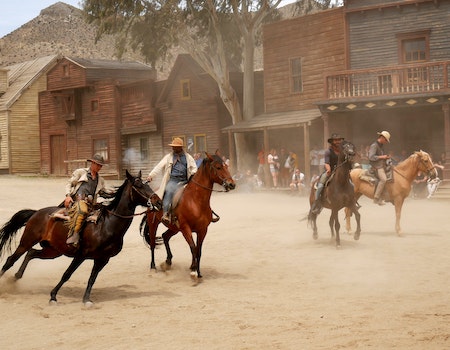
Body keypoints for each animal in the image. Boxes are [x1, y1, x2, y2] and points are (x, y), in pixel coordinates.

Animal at [0, 171, 162, 304]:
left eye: (148, 184)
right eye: (138, 185)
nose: (158, 202)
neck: (107, 225)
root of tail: (37, 212)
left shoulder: (102, 259)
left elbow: (92, 278)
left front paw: (86, 299)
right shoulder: (81, 254)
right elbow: (67, 274)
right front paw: (53, 296)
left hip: (53, 251)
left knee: (32, 253)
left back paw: (17, 276)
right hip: (27, 241)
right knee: (10, 260)